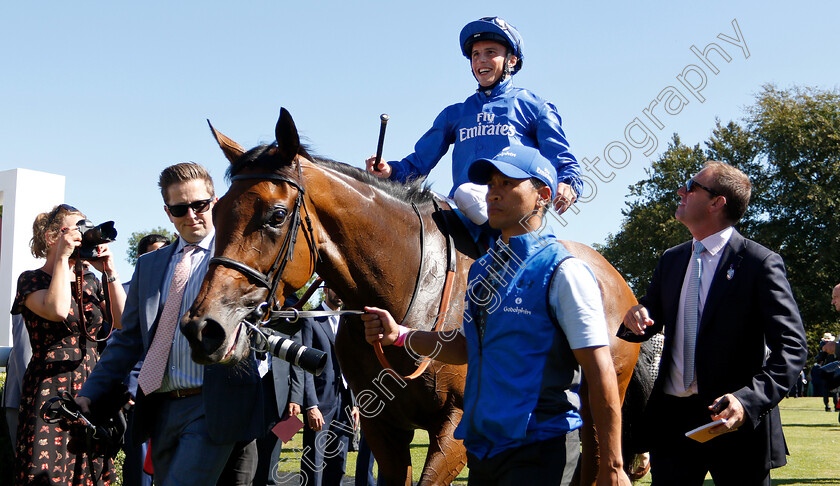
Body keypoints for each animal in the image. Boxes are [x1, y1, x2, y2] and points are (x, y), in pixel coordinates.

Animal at [182, 108, 644, 484]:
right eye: (215, 211)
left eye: (276, 216)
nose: (203, 327)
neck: (405, 290)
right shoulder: (383, 425)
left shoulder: (458, 425)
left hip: (601, 401)